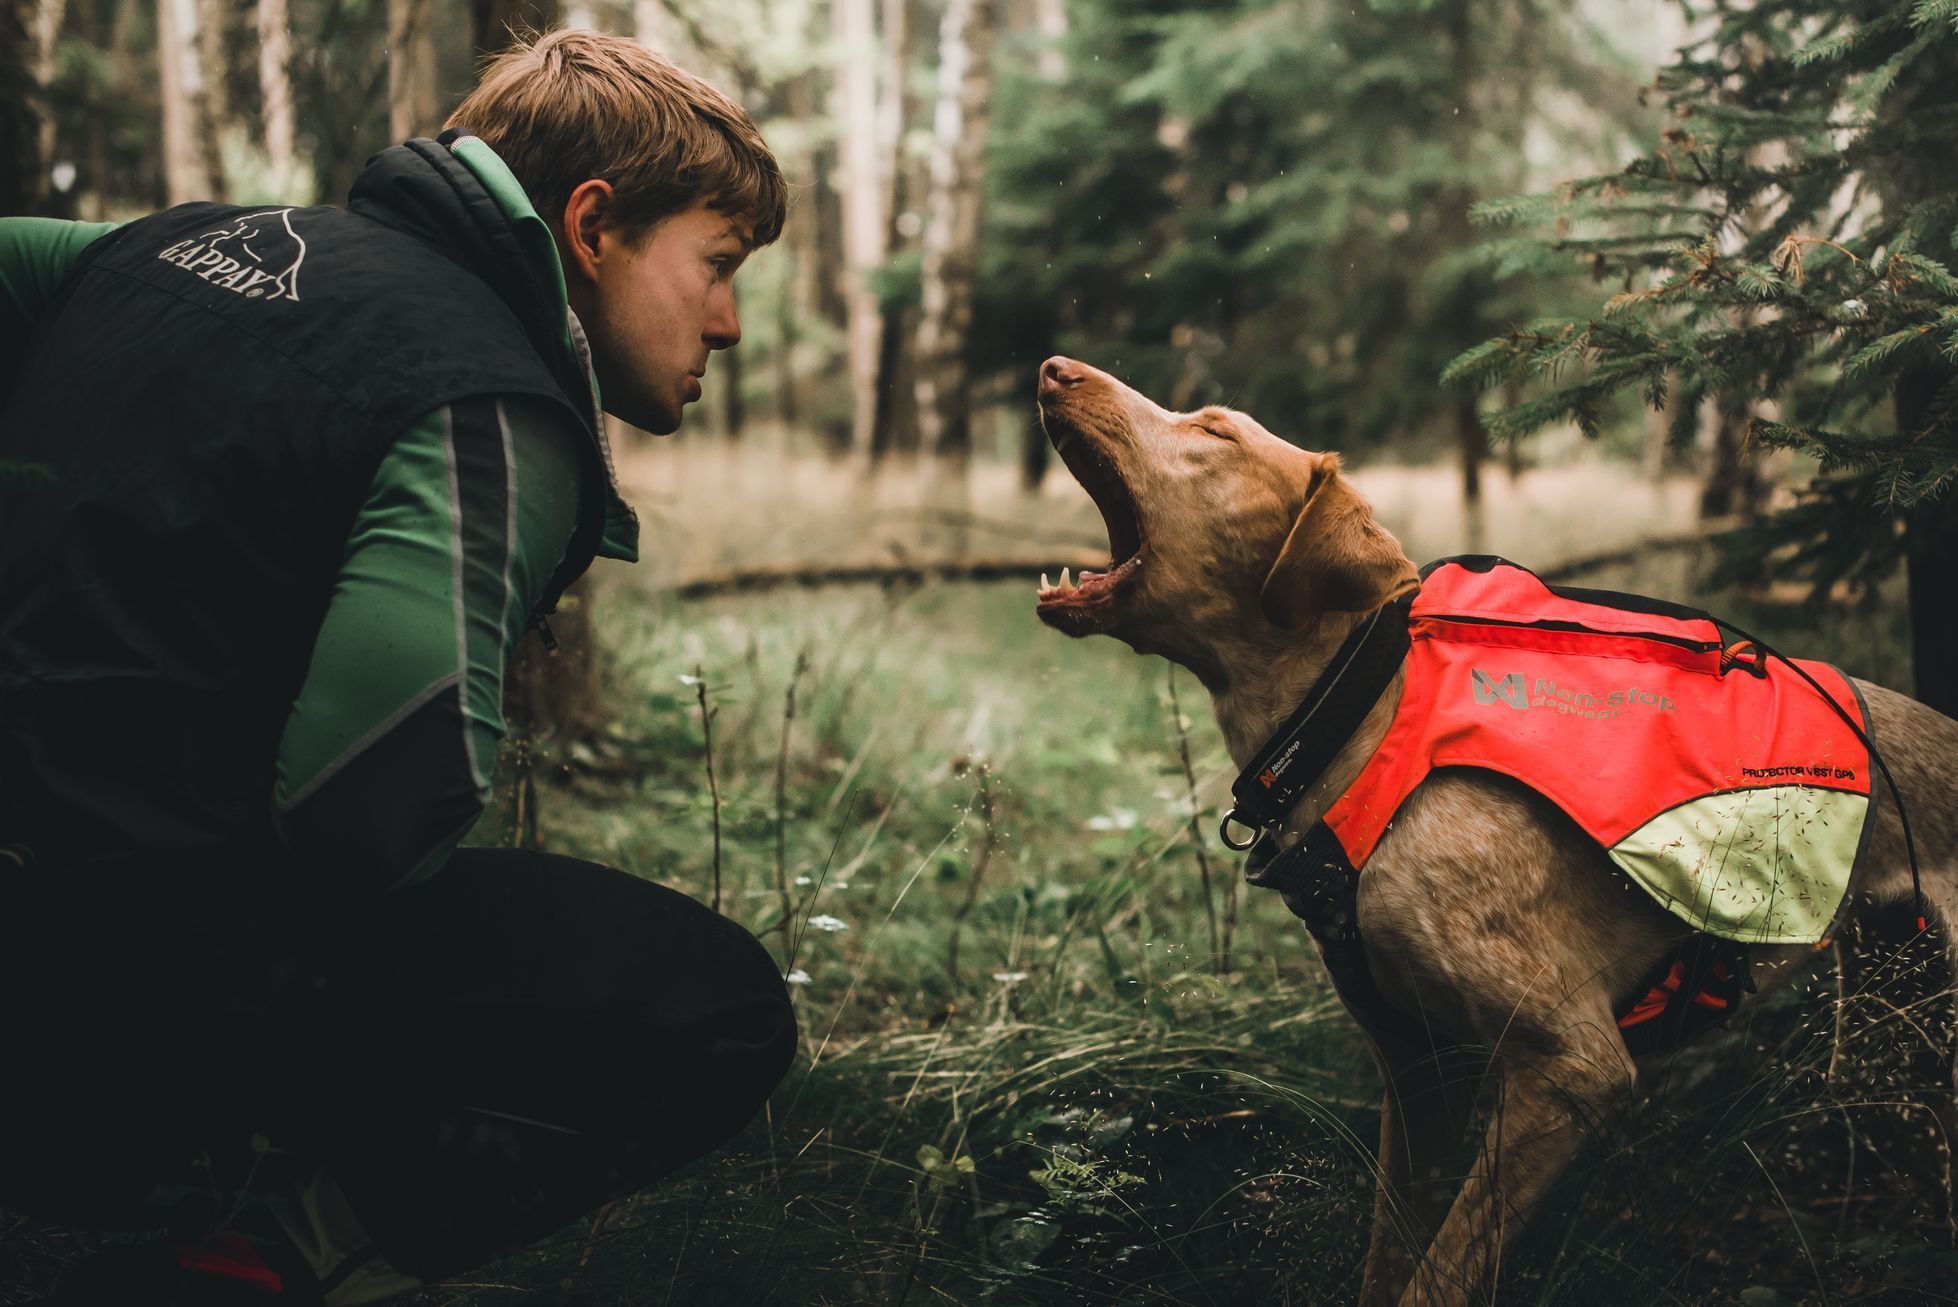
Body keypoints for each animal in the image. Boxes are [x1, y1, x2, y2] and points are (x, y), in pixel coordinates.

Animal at [1033, 352, 1958, 1299]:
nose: (1054, 366)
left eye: (1214, 432)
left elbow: (1438, 1276)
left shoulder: (1572, 1067)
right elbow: (1389, 1258)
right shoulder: (1420, 1073)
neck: (1358, 722)